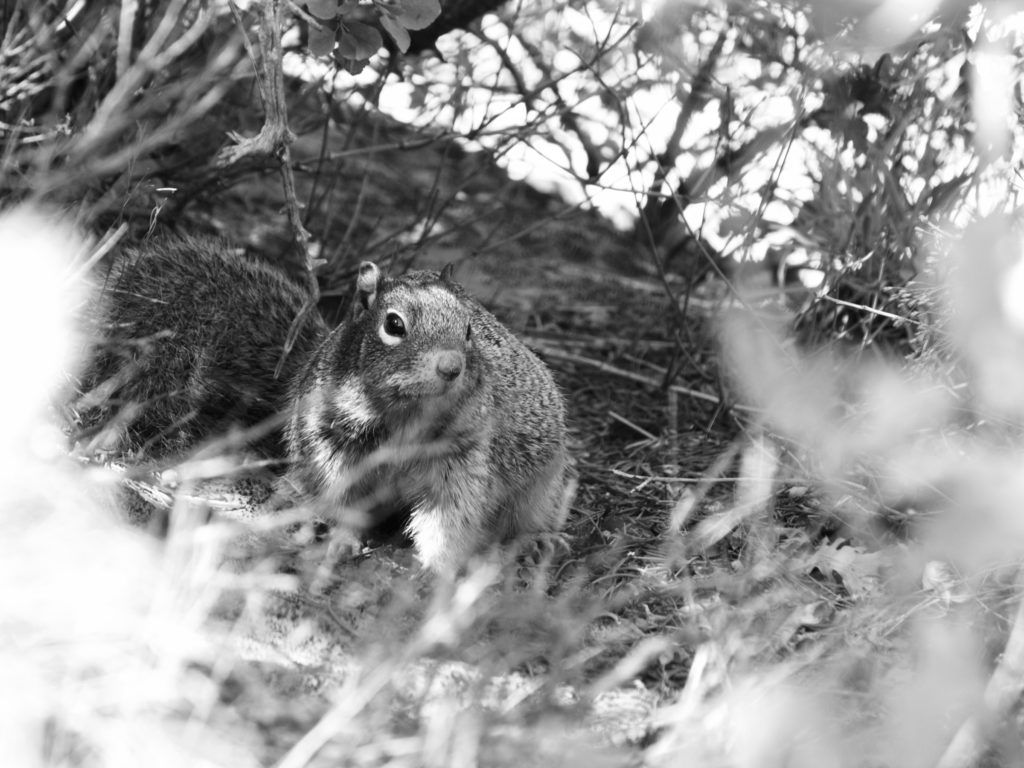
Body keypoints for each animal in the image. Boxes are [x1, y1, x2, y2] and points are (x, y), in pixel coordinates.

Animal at [284, 262, 573, 573]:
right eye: (393, 325)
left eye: (468, 329)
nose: (451, 367)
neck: (407, 413)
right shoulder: (332, 448)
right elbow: (345, 502)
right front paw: (342, 541)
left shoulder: (461, 459)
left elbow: (449, 518)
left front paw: (435, 566)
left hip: (542, 486)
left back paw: (538, 540)